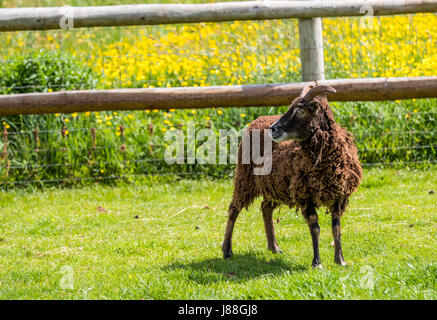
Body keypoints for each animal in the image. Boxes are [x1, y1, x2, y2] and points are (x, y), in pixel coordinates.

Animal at [221, 84, 362, 268]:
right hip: (245, 178)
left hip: (274, 186)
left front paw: (340, 260)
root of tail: (257, 120)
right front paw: (317, 262)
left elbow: (336, 228)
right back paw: (227, 250)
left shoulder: (340, 195)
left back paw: (274, 247)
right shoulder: (305, 194)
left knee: (265, 209)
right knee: (233, 209)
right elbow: (315, 227)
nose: (273, 129)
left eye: (300, 112)